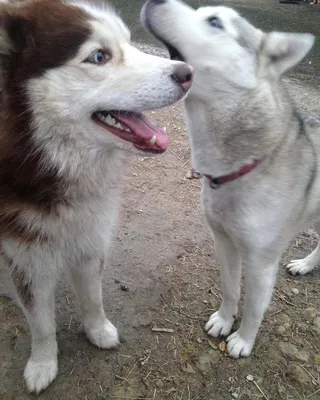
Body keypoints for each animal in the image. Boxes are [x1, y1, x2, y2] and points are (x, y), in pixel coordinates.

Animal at [0, 0, 191, 394]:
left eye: (129, 43)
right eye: (99, 56)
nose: (188, 72)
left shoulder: (90, 238)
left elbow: (93, 298)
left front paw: (98, 331)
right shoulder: (27, 259)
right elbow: (41, 324)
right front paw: (43, 364)